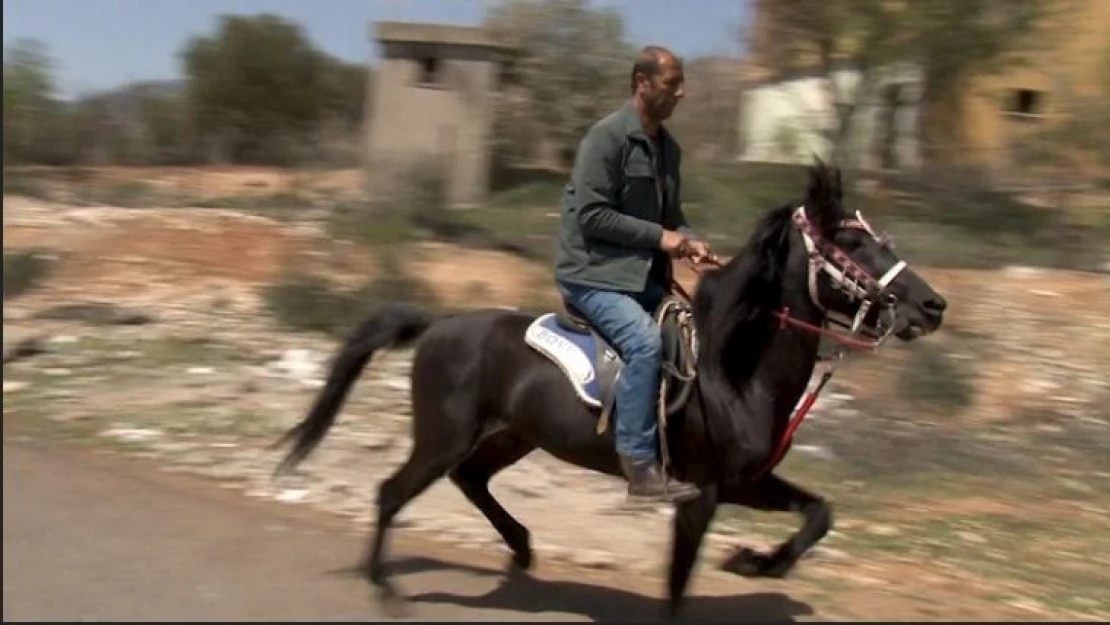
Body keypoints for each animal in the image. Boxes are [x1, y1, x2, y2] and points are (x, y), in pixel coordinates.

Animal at [275, 158, 945, 617]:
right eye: (851, 243)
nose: (933, 305)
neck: (732, 371)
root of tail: (437, 325)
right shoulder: (699, 494)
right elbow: (677, 583)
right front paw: (743, 564)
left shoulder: (746, 482)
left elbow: (819, 514)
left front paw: (754, 563)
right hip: (444, 435)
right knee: (392, 493)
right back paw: (385, 587)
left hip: (511, 436)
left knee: (470, 480)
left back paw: (521, 548)